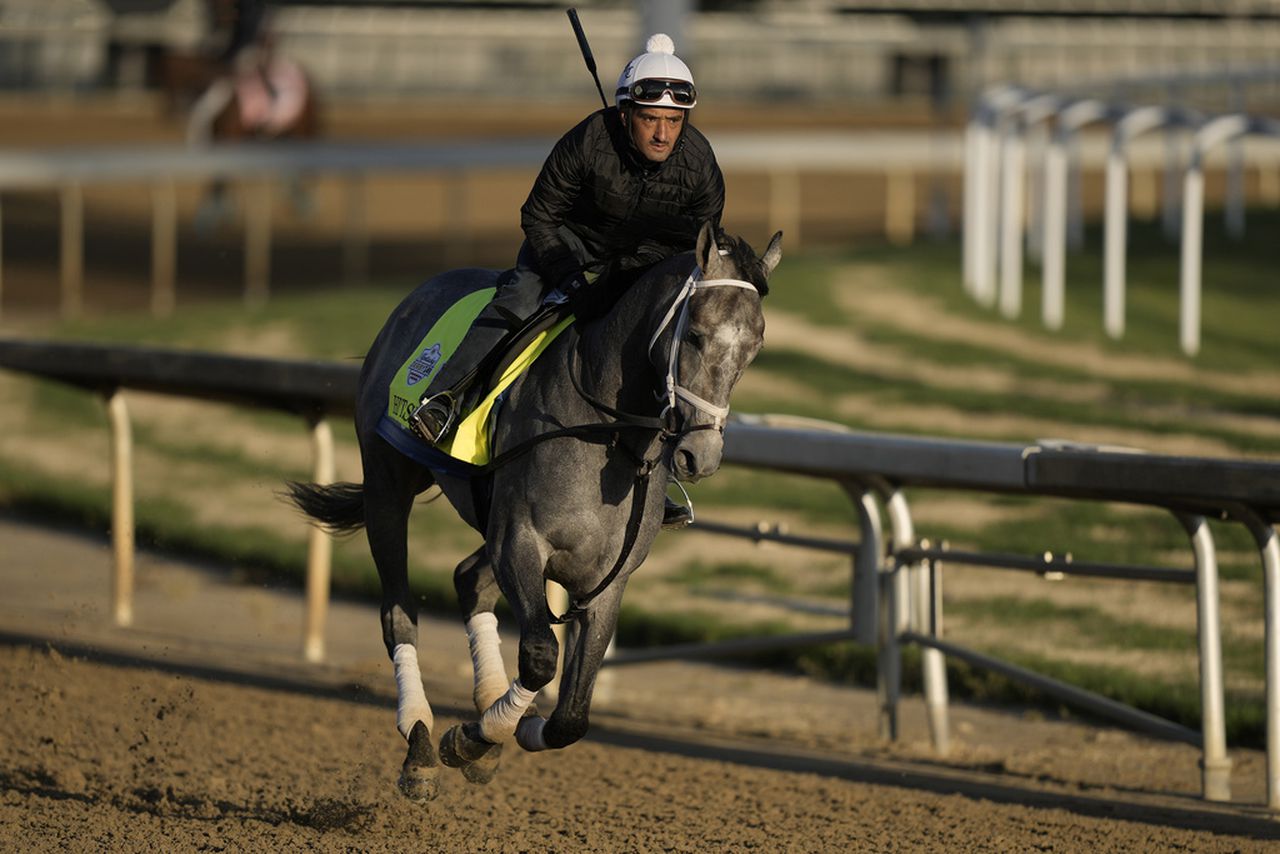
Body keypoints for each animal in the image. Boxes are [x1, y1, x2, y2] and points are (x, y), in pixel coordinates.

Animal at [288, 224, 778, 798]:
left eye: (755, 345)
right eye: (697, 334)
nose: (701, 455)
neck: (606, 432)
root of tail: (414, 298)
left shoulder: (605, 582)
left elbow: (572, 715)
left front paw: (502, 732)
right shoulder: (519, 540)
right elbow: (542, 656)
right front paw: (472, 738)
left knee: (468, 578)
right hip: (389, 484)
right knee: (398, 613)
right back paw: (421, 746)